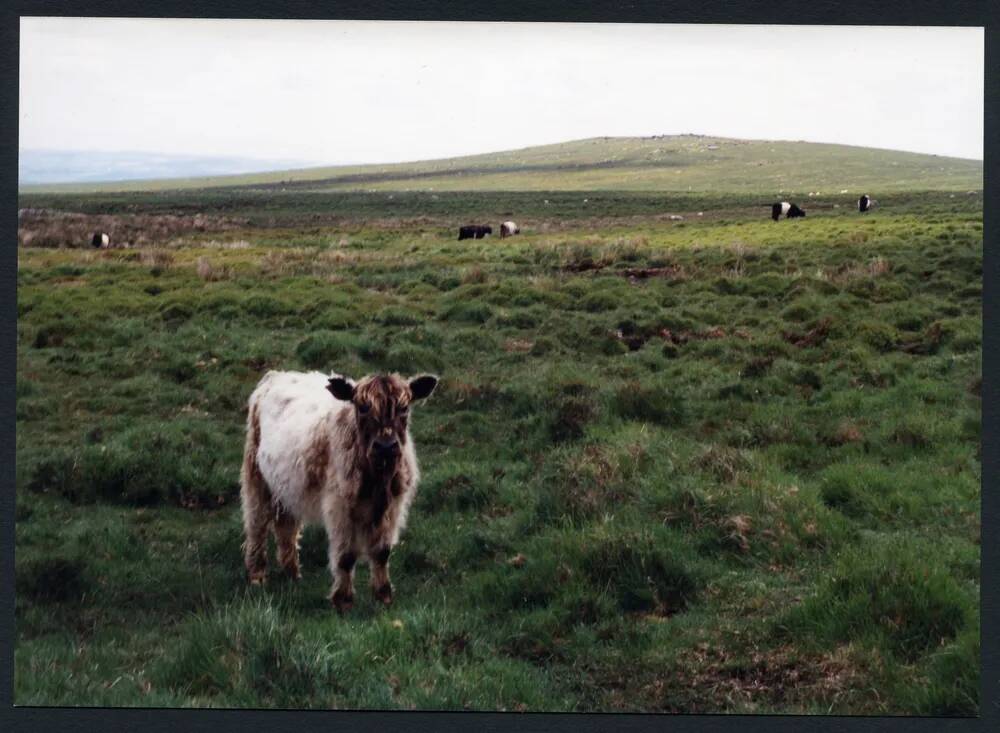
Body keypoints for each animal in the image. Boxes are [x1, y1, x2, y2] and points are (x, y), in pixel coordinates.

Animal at [240, 366, 440, 612]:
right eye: (362, 407)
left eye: (404, 407)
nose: (386, 446)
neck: (376, 481)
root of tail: (276, 375)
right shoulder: (340, 507)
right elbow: (346, 556)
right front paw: (343, 600)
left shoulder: (393, 505)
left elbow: (382, 552)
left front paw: (383, 595)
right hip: (256, 476)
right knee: (257, 524)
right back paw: (257, 574)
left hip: (287, 486)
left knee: (285, 526)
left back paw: (292, 572)